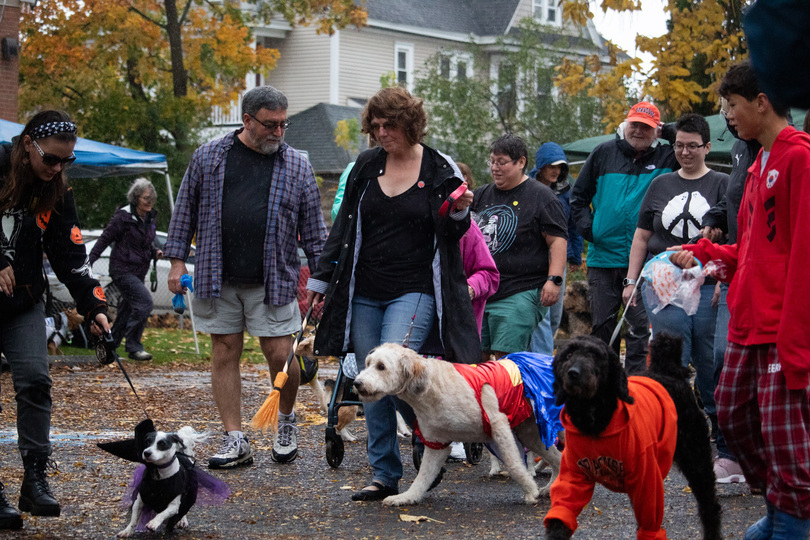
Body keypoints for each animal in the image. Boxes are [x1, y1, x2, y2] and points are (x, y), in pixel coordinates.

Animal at [354, 346, 560, 506]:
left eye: (381, 366)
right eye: (368, 363)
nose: (356, 383)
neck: (433, 387)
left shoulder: (499, 424)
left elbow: (514, 464)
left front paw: (530, 490)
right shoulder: (436, 444)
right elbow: (423, 476)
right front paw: (406, 497)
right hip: (530, 433)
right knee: (558, 459)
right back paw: (551, 488)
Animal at [544, 334, 720, 540]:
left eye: (595, 355)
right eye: (568, 354)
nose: (574, 373)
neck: (594, 423)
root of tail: (669, 372)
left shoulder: (646, 479)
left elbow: (649, 526)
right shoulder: (573, 476)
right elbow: (560, 517)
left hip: (697, 460)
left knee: (710, 506)